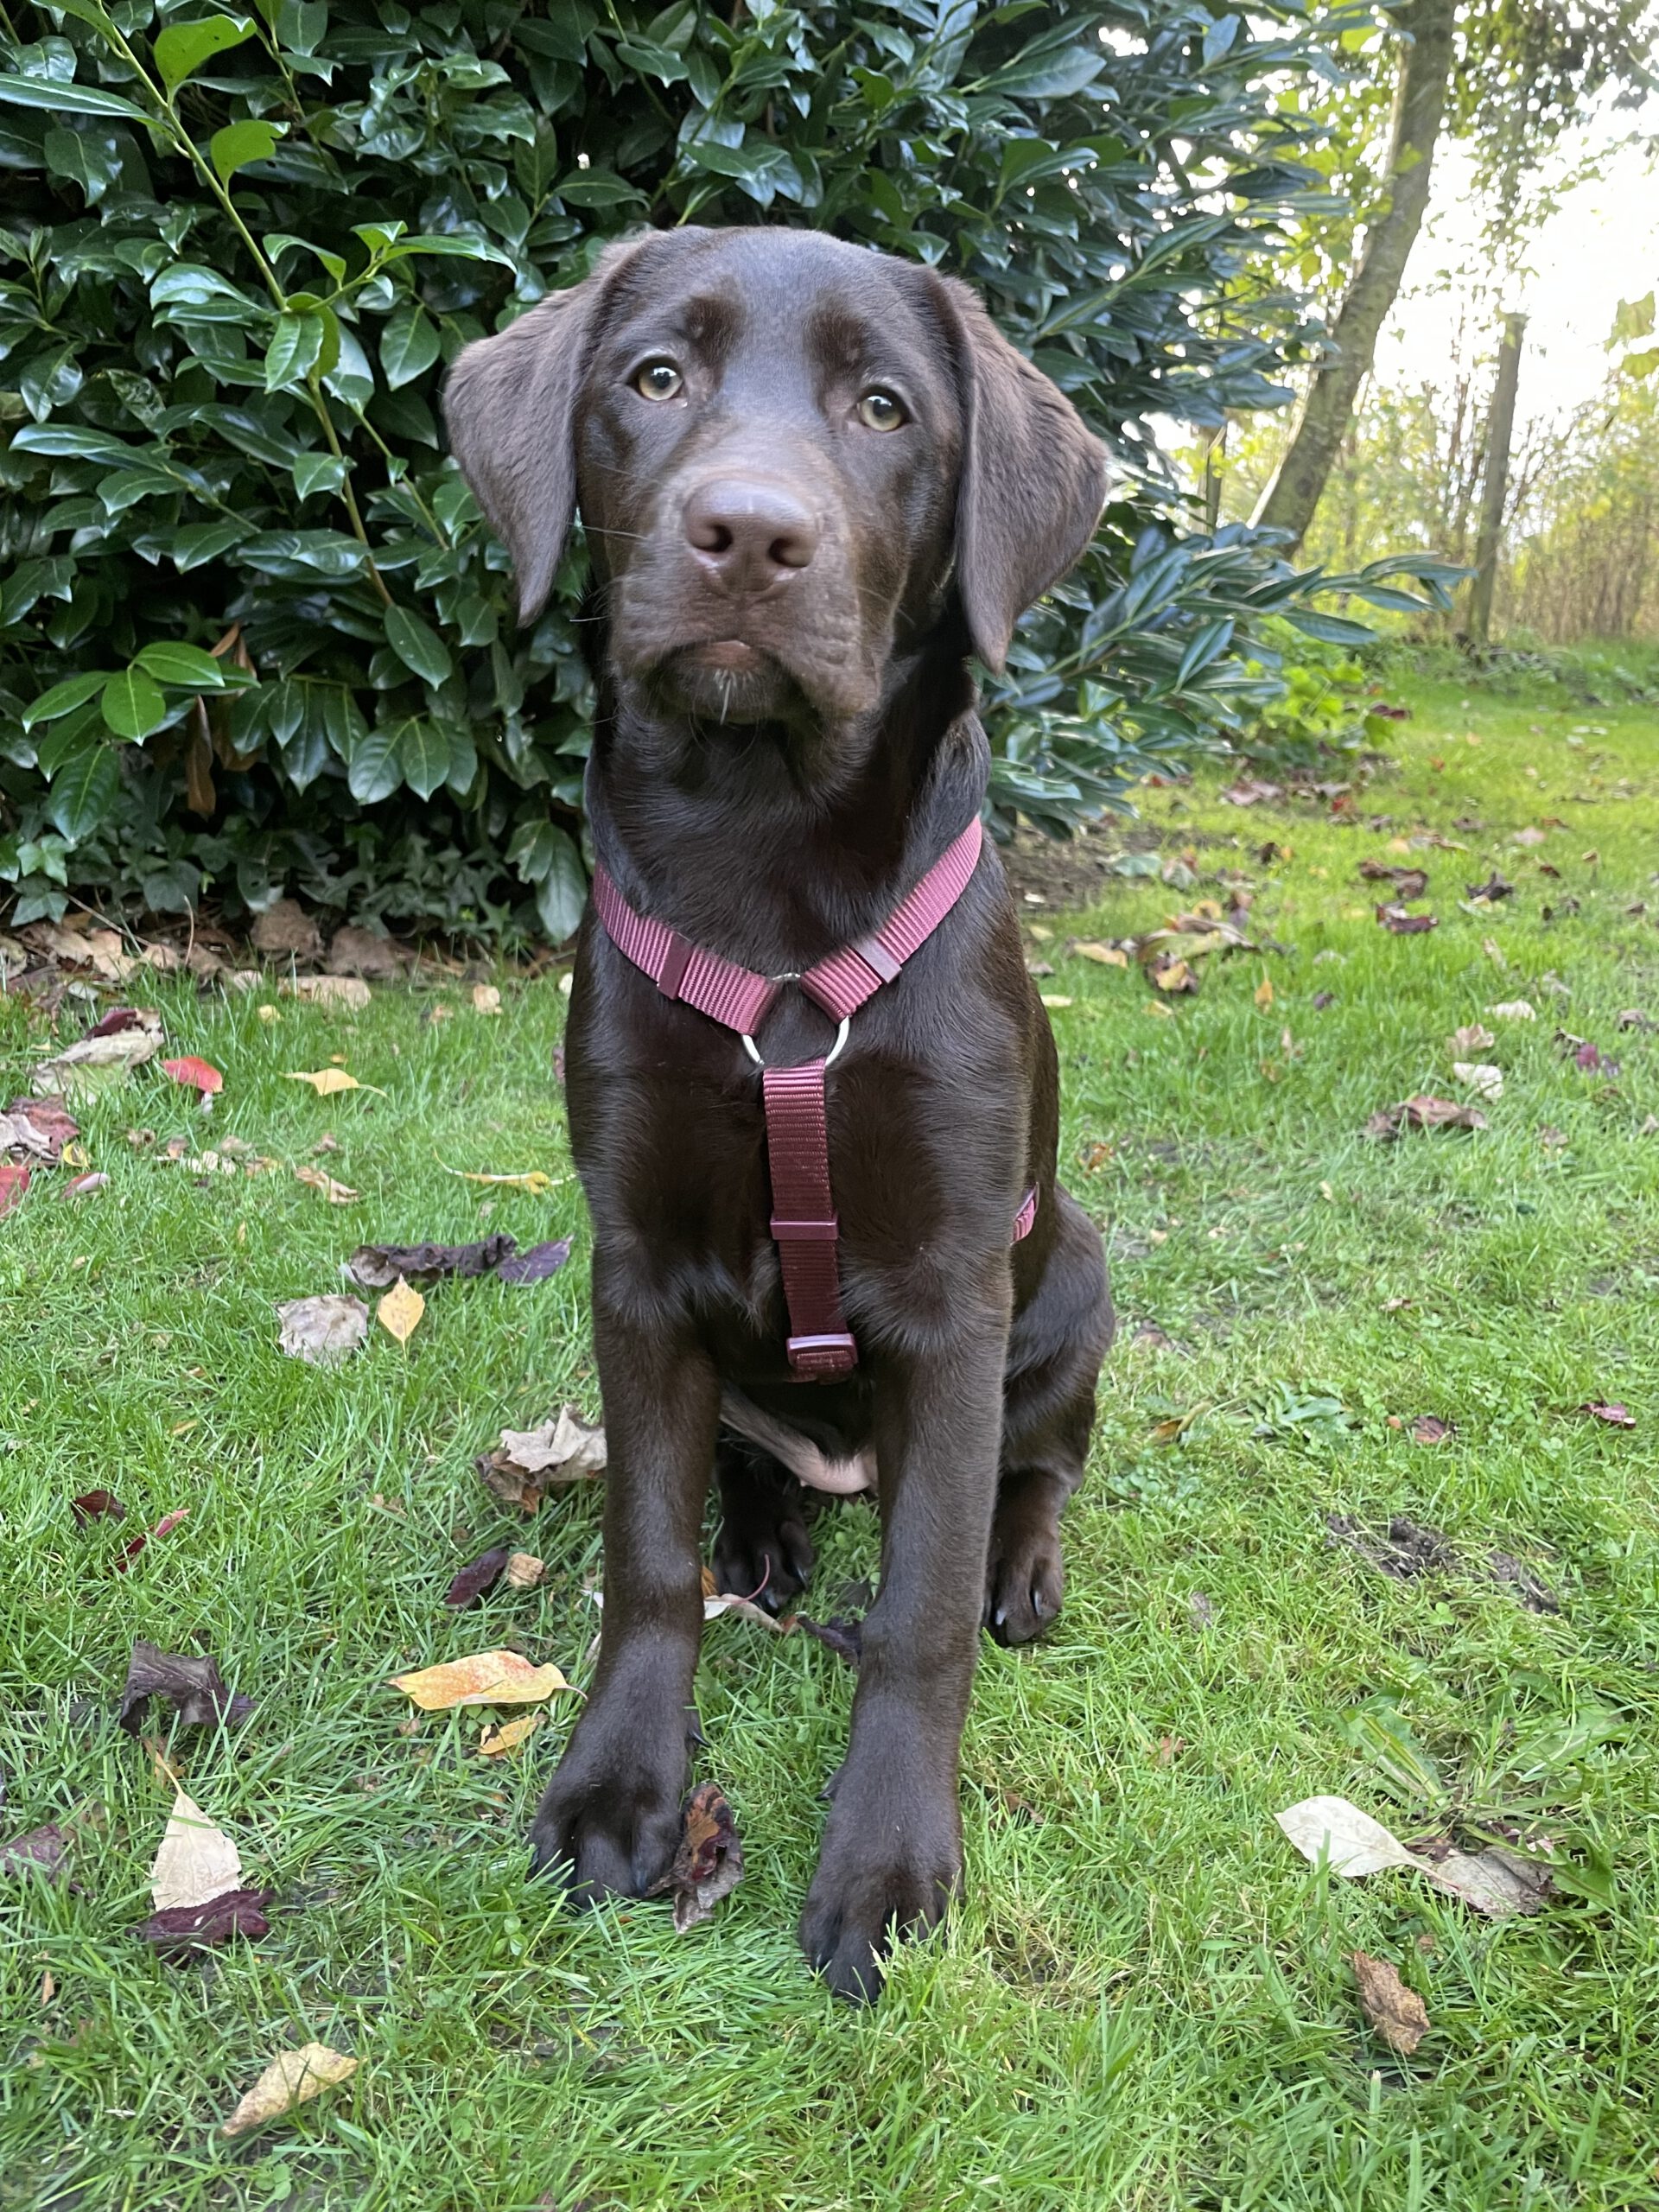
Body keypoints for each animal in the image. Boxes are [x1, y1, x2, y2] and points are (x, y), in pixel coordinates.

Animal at [446, 226, 1114, 2000]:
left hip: (1077, 1273)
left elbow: (919, 1617)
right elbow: (644, 1557)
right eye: (654, 378)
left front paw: (884, 1861)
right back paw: (761, 1528)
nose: (749, 533)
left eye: (886, 408)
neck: (762, 846)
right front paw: (620, 1787)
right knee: (748, 1474)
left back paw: (1023, 1559)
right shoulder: (633, 1262)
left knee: (1037, 1466)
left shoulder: (953, 1290)